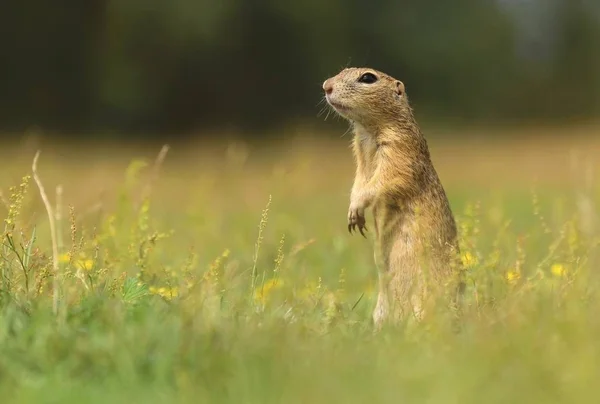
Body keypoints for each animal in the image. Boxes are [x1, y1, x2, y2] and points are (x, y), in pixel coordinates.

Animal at [324, 65, 464, 326]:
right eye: (343, 70)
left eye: (368, 78)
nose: (326, 86)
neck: (368, 132)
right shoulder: (360, 160)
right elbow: (359, 183)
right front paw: (353, 214)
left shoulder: (399, 151)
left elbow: (382, 182)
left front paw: (356, 209)